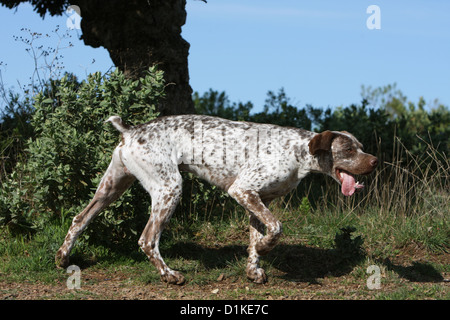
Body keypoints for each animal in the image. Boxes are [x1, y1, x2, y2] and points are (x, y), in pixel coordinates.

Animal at [57, 114, 380, 284]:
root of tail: (131, 131)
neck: (297, 151)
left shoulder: (257, 200)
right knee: (147, 240)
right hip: (169, 188)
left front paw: (254, 268)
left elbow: (256, 239)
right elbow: (276, 229)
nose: (375, 161)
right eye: (349, 150)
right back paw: (169, 274)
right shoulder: (242, 190)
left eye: (362, 146)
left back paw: (63, 257)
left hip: (111, 189)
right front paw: (264, 248)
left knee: (78, 219)